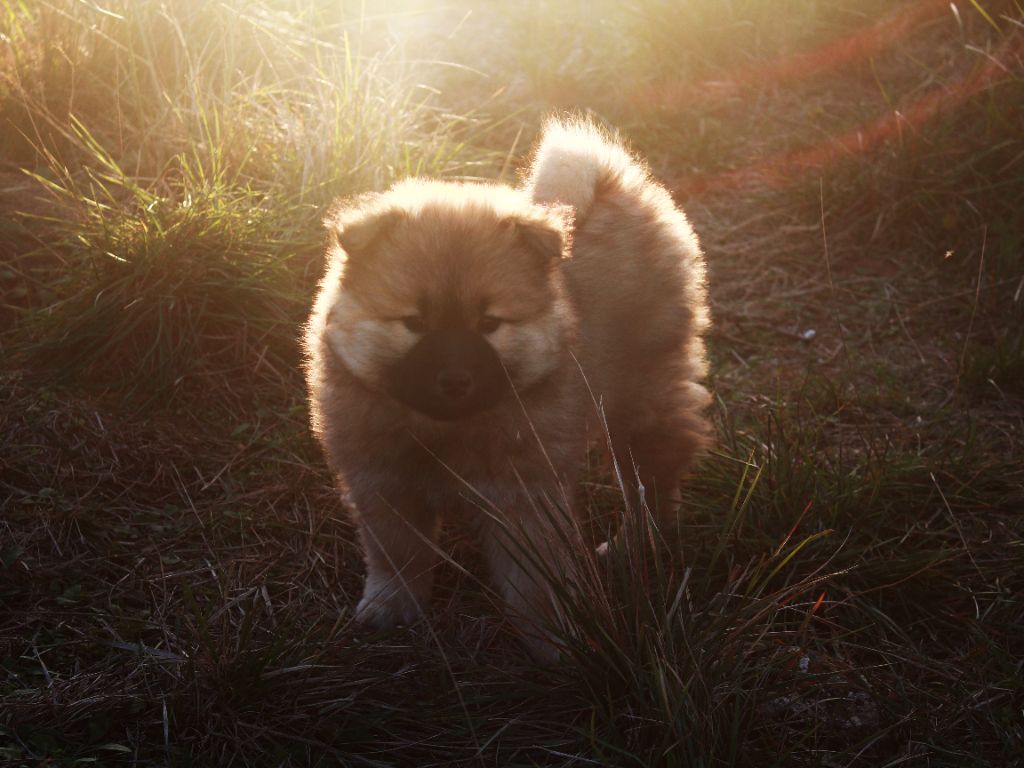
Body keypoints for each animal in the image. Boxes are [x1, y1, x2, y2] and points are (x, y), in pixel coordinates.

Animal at [303, 118, 712, 655]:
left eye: (489, 324)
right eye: (415, 323)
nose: (455, 379)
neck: (445, 431)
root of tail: (611, 183)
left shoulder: (523, 498)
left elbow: (535, 581)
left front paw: (556, 642)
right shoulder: (383, 484)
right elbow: (398, 555)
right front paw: (391, 606)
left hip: (641, 398)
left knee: (652, 480)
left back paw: (633, 546)